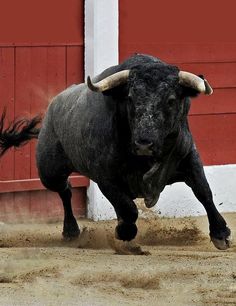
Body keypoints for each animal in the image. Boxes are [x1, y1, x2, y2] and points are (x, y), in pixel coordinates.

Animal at [36, 53, 231, 250]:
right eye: (129, 98)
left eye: (171, 100)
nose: (144, 144)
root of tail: (54, 103)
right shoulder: (106, 178)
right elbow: (128, 209)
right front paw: (125, 232)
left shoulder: (189, 156)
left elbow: (203, 191)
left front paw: (220, 234)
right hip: (50, 172)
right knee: (65, 189)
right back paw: (71, 231)